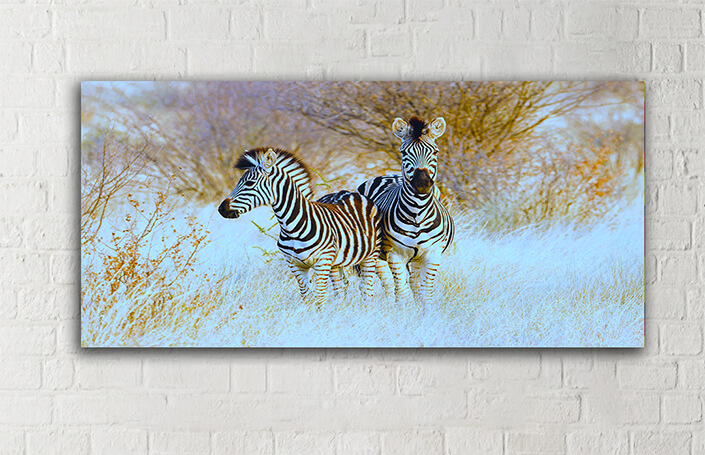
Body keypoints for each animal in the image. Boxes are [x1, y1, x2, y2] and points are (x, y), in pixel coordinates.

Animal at [218, 147, 380, 308]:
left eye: (250, 183)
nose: (221, 209)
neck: (292, 226)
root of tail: (350, 192)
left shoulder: (321, 261)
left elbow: (320, 298)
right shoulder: (295, 265)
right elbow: (307, 297)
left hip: (370, 255)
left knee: (366, 289)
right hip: (335, 263)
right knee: (339, 290)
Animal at [357, 116, 454, 304]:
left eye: (435, 152)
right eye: (404, 153)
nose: (421, 183)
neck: (417, 212)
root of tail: (391, 175)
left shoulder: (432, 254)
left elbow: (425, 293)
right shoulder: (395, 254)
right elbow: (402, 293)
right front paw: (403, 311)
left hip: (417, 258)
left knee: (414, 284)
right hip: (376, 254)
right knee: (384, 284)